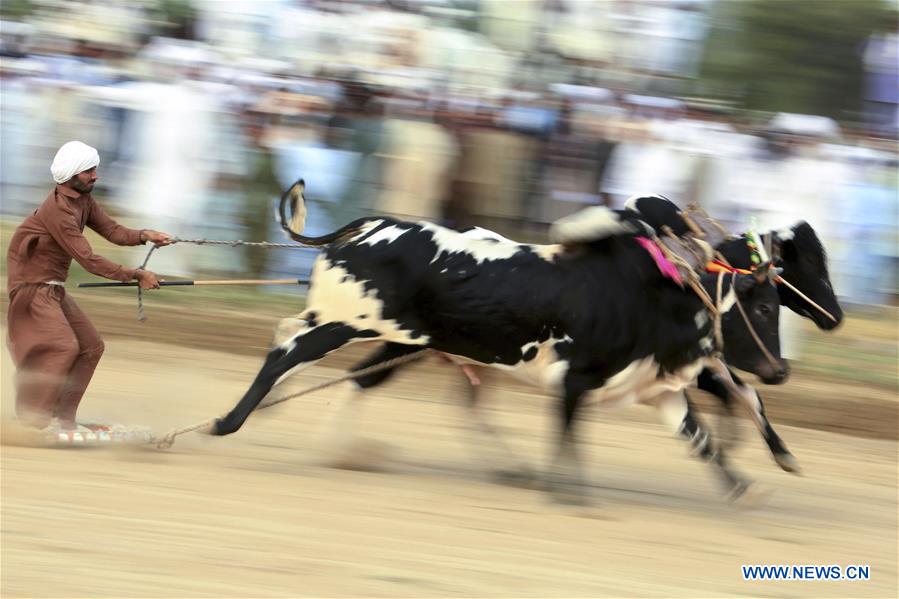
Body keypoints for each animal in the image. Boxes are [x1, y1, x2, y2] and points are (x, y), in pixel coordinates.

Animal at [209, 180, 786, 503]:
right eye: (762, 306)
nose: (779, 371)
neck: (658, 287)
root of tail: (373, 226)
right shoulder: (577, 380)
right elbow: (567, 437)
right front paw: (565, 492)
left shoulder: (657, 387)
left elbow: (701, 439)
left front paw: (742, 487)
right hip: (349, 322)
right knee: (287, 354)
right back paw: (225, 423)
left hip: (391, 337)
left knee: (315, 354)